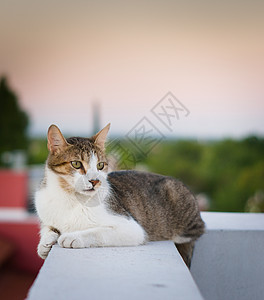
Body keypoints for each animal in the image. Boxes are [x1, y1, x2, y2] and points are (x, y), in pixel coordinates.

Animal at [34, 123, 204, 268]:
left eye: (100, 165)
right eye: (76, 164)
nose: (95, 181)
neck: (69, 197)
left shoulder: (132, 228)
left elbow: (99, 231)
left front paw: (72, 237)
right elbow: (47, 227)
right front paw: (45, 243)